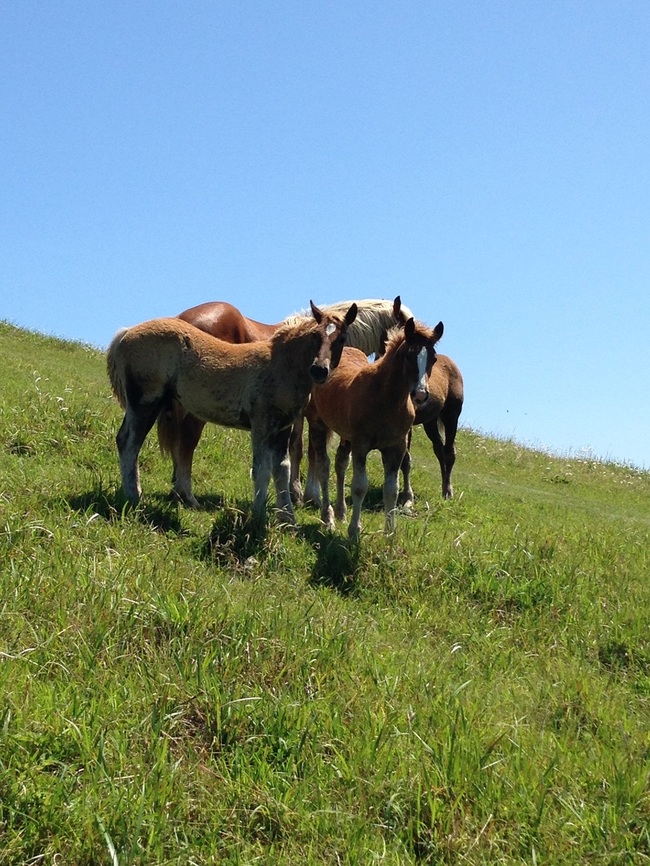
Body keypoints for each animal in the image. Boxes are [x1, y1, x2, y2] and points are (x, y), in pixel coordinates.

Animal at [108, 300, 356, 524]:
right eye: (316, 336)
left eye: (341, 338)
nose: (319, 370)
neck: (280, 365)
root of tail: (126, 333)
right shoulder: (261, 424)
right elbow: (262, 469)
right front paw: (259, 516)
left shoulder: (282, 427)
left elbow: (282, 469)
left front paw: (288, 520)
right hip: (145, 400)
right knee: (130, 443)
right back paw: (134, 497)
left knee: (124, 439)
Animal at [159, 296, 412, 502]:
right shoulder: (313, 415)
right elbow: (309, 450)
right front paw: (309, 494)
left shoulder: (295, 415)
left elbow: (295, 448)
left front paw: (296, 492)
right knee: (188, 439)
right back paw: (186, 493)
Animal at [306, 314, 442, 536]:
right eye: (408, 356)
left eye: (433, 359)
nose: (421, 395)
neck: (385, 398)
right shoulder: (361, 444)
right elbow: (360, 486)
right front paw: (354, 530)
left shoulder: (396, 447)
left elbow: (392, 490)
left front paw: (390, 533)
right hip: (318, 424)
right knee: (323, 466)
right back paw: (328, 518)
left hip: (346, 436)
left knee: (340, 463)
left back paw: (341, 511)